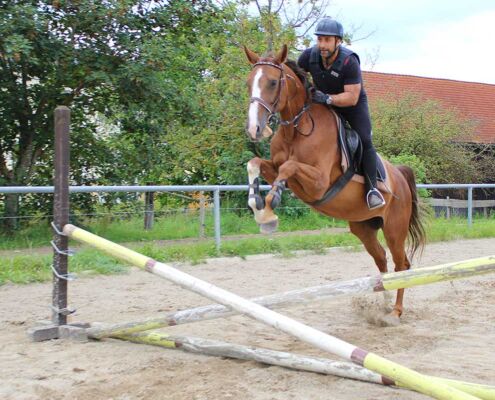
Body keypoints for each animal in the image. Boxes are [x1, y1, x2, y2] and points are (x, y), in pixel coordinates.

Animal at [244, 44, 426, 324]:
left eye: (273, 82)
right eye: (248, 83)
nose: (254, 129)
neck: (296, 130)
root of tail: (400, 176)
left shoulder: (318, 182)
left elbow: (289, 167)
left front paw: (270, 209)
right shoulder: (276, 170)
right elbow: (255, 163)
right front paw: (260, 209)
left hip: (395, 228)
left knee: (402, 264)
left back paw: (395, 311)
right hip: (363, 228)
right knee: (382, 259)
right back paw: (384, 302)